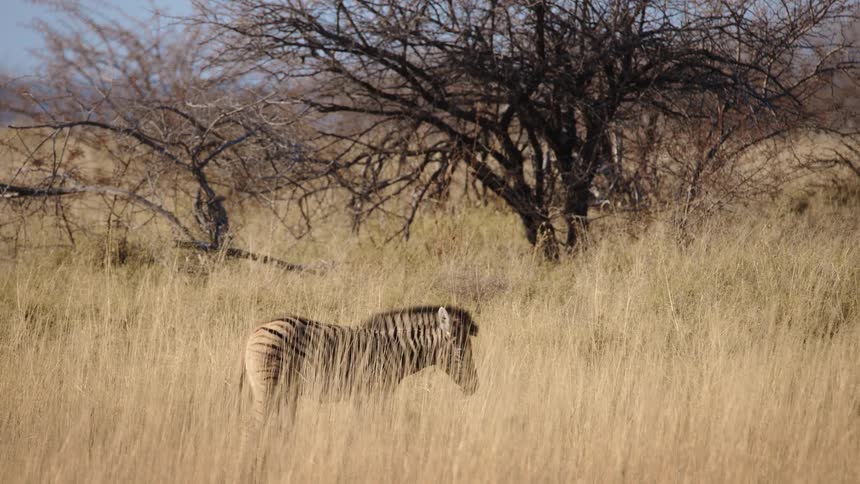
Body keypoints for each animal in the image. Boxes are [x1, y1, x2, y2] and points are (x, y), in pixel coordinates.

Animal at [240, 305, 480, 426]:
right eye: (460, 351)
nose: (475, 386)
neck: (395, 350)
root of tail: (256, 331)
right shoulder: (375, 391)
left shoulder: (364, 394)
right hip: (268, 386)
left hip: (284, 389)